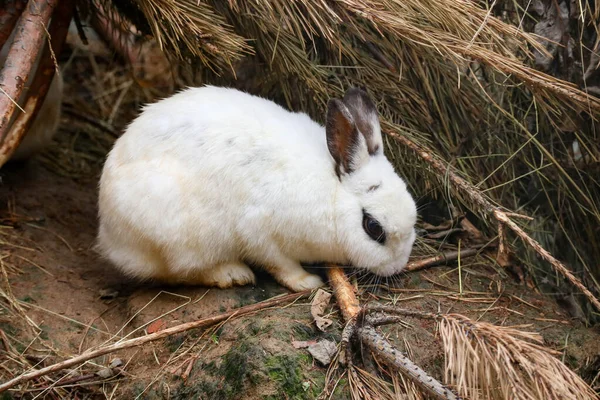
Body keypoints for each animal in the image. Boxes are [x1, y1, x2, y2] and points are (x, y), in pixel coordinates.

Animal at [98, 86, 418, 290]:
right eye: (373, 227)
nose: (397, 266)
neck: (332, 194)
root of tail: (109, 234)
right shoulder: (259, 232)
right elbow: (280, 265)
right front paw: (307, 283)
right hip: (180, 235)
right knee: (178, 272)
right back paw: (231, 274)